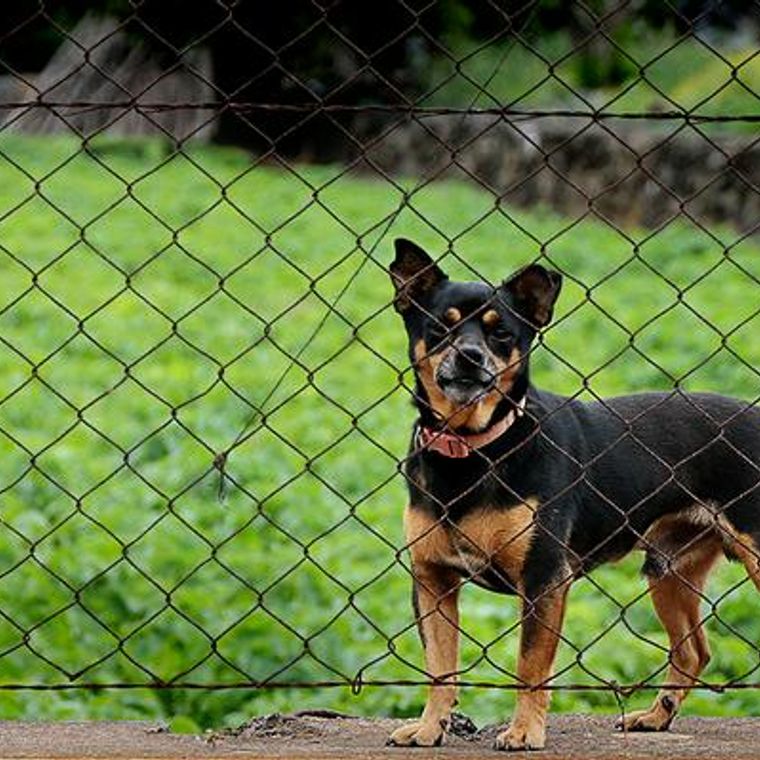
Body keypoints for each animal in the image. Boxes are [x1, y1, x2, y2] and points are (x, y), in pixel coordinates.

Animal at [386, 240, 760, 752]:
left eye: (502, 334)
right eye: (441, 326)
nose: (470, 357)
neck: (474, 449)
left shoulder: (544, 579)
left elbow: (530, 667)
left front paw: (524, 732)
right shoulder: (433, 578)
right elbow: (441, 668)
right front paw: (429, 729)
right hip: (668, 569)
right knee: (693, 651)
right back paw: (655, 717)